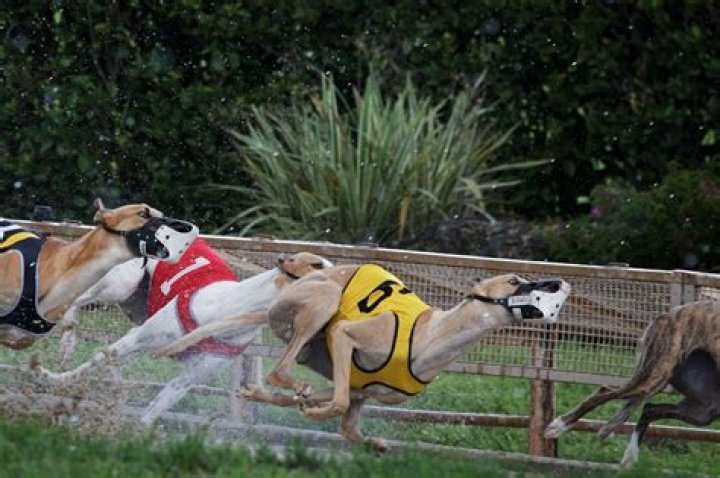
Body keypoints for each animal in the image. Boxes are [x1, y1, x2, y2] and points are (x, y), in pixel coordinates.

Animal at [34, 238, 332, 425]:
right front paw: (53, 378)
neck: (229, 307)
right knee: (76, 299)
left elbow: (156, 407)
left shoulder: (187, 379)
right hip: (121, 284)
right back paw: (68, 339)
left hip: (135, 305)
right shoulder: (134, 340)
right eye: (318, 265)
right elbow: (88, 365)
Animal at [157, 263, 570, 450]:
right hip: (322, 302)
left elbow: (348, 422)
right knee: (279, 371)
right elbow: (337, 404)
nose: (558, 283)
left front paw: (370, 441)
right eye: (514, 281)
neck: (429, 339)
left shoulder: (362, 390)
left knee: (286, 379)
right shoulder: (344, 337)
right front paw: (315, 412)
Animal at [545, 300, 720, 467]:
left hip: (703, 409)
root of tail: (668, 314)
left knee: (649, 408)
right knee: (606, 392)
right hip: (655, 377)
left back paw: (629, 455)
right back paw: (559, 426)